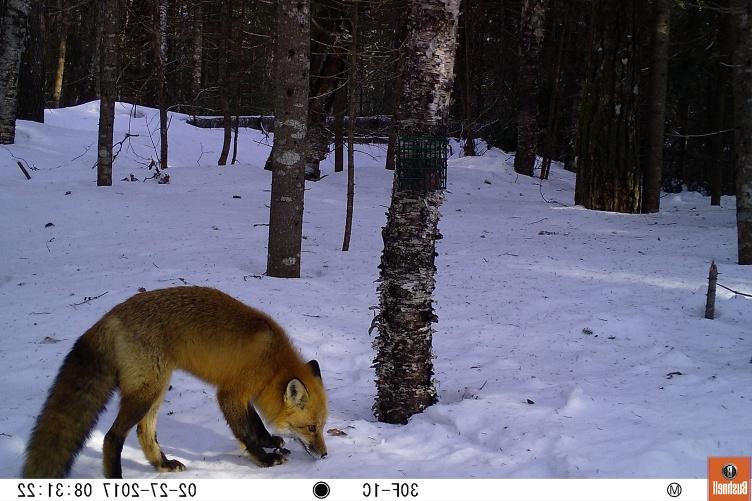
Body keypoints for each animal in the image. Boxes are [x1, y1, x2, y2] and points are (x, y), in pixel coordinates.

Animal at [22, 286, 328, 476]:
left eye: (323, 427)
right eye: (311, 428)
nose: (325, 455)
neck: (271, 361)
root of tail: (112, 315)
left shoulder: (242, 393)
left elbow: (255, 423)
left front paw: (270, 441)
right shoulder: (229, 393)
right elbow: (246, 432)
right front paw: (264, 458)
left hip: (156, 389)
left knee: (144, 432)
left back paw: (163, 465)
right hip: (145, 393)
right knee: (112, 437)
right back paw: (117, 479)